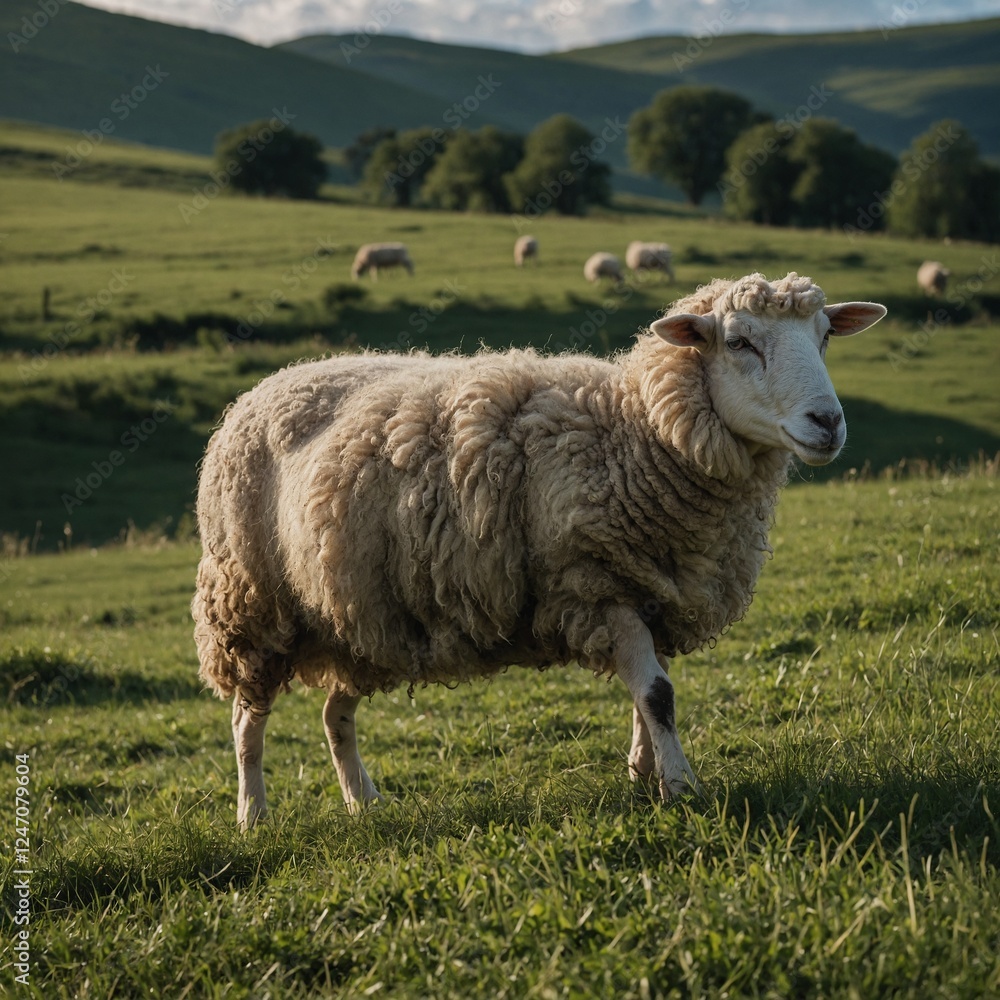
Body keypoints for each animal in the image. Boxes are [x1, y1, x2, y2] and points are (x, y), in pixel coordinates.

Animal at [192, 272, 887, 828]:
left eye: (825, 335)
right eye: (740, 342)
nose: (828, 423)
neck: (634, 436)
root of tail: (262, 388)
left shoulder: (651, 590)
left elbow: (647, 693)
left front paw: (644, 777)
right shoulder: (596, 584)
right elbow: (657, 696)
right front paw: (683, 788)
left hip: (357, 620)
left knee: (336, 715)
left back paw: (364, 804)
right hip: (251, 607)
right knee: (247, 722)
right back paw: (253, 815)